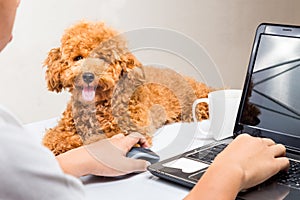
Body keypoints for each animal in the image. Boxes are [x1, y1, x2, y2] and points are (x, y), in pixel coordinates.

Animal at [42, 21, 211, 156]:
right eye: (78, 58)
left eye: (104, 58)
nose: (88, 76)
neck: (98, 105)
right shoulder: (63, 129)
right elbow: (53, 139)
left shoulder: (131, 130)